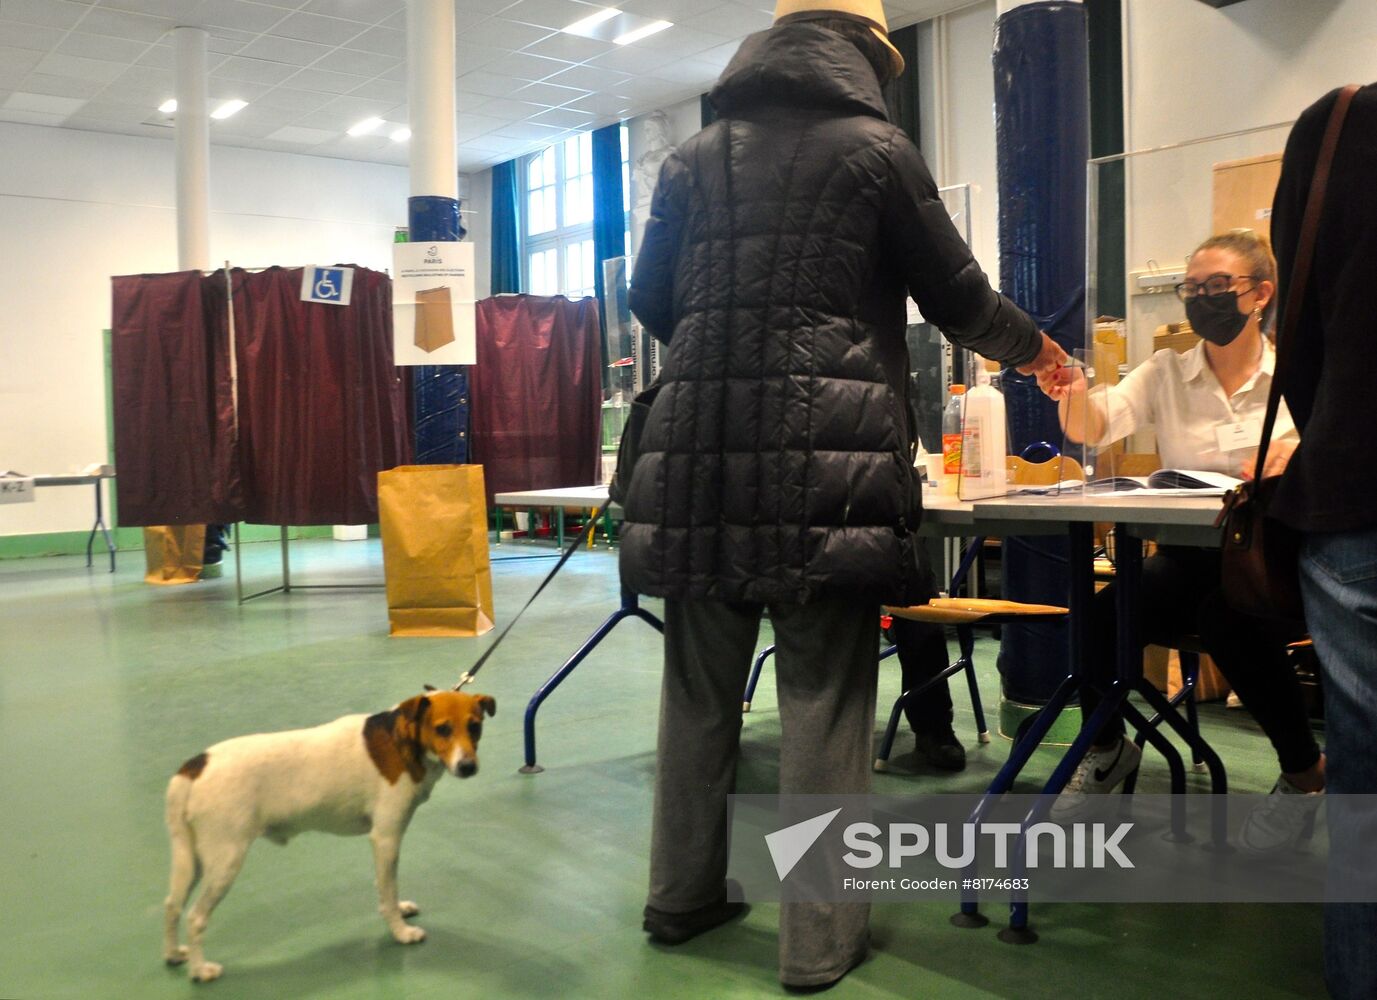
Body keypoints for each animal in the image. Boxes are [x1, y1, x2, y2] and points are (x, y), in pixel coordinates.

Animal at [161, 694, 495, 980]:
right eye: (442, 729)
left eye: (475, 726)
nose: (468, 766)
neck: (405, 741)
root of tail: (195, 765)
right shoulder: (386, 837)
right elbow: (389, 891)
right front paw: (400, 932)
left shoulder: (383, 845)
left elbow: (385, 888)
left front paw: (400, 911)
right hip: (225, 862)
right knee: (195, 918)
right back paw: (200, 970)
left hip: (193, 862)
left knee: (172, 906)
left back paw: (175, 955)